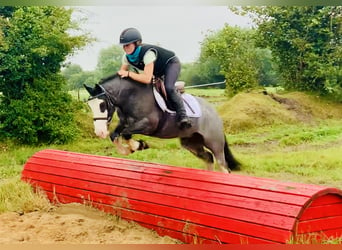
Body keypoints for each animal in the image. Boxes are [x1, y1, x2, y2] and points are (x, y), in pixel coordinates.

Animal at [85, 73, 240, 172]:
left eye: (102, 105)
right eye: (90, 106)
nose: (99, 132)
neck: (131, 96)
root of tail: (215, 113)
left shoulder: (148, 125)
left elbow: (126, 134)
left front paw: (140, 145)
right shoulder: (124, 123)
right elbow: (115, 135)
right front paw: (130, 149)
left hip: (214, 142)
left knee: (222, 163)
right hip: (191, 142)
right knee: (208, 158)